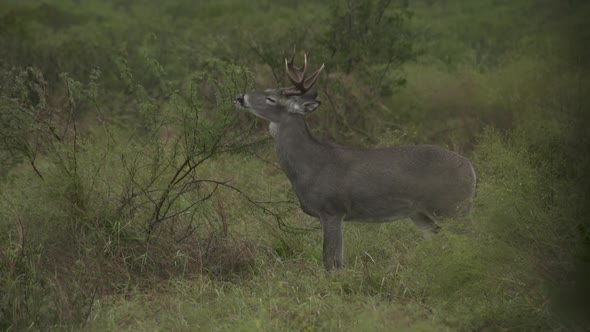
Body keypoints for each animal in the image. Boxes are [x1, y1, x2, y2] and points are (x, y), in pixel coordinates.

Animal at [234, 52, 478, 270]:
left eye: (271, 98)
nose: (240, 97)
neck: (310, 165)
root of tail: (471, 168)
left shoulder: (332, 209)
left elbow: (331, 261)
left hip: (452, 206)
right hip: (422, 214)